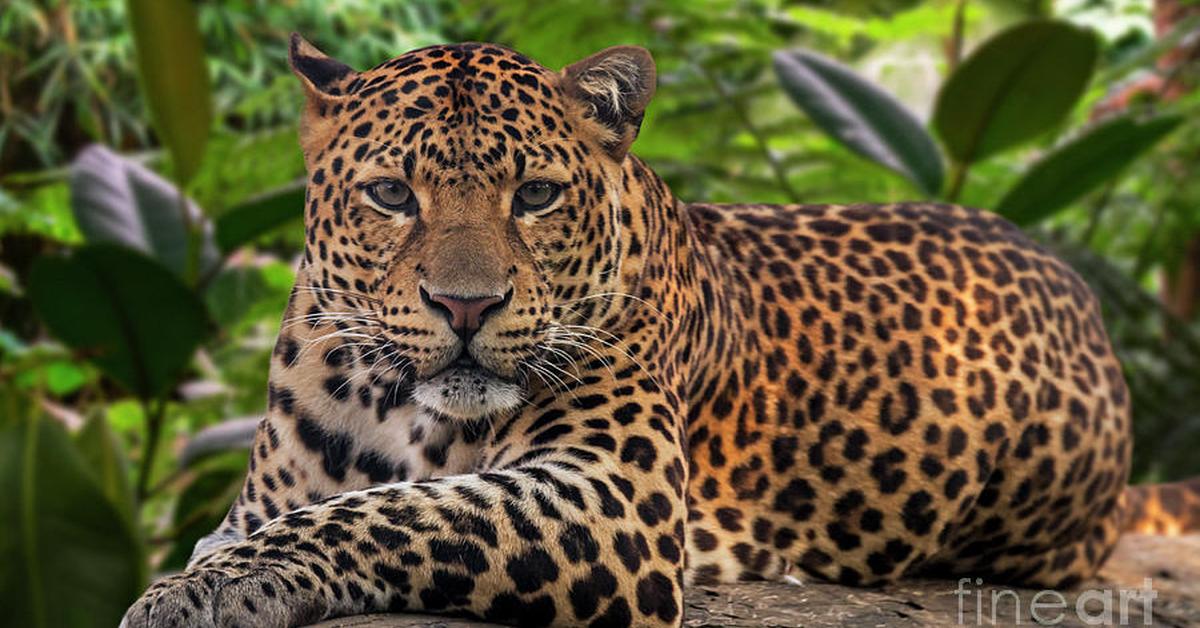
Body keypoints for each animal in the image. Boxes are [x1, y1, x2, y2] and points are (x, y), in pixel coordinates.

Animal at [121, 35, 1200, 628]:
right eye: (391, 195)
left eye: (537, 195)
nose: (465, 308)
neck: (398, 407)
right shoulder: (260, 497)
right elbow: (311, 513)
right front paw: (201, 576)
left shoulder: (612, 491)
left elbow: (395, 512)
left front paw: (209, 591)